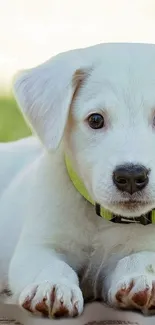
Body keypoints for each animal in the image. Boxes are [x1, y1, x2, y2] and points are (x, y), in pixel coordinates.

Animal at [0, 42, 155, 316]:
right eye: (96, 119)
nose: (131, 176)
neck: (102, 220)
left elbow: (142, 257)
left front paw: (140, 278)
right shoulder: (37, 247)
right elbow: (52, 265)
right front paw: (51, 285)